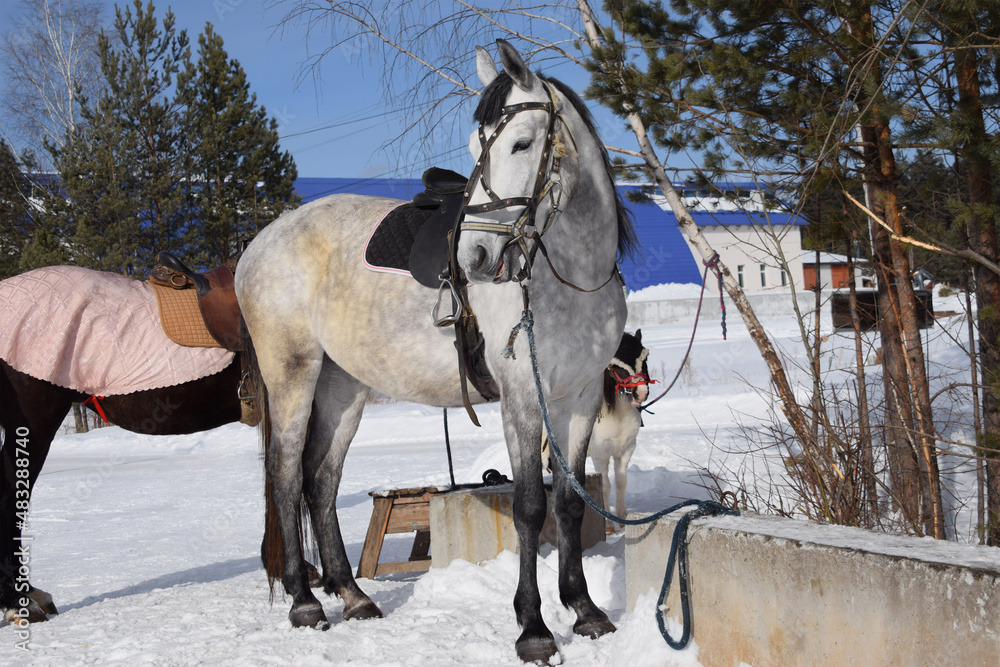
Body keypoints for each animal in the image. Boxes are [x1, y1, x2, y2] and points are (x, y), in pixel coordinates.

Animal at [235, 39, 636, 663]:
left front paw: (587, 611)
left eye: (522, 144)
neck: (571, 276)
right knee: (283, 474)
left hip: (342, 387)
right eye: (476, 148)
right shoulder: (523, 396)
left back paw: (353, 596)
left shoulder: (580, 397)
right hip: (292, 374)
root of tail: (258, 245)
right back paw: (305, 603)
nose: (473, 258)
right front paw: (534, 629)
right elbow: (530, 506)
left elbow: (569, 503)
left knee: (319, 481)